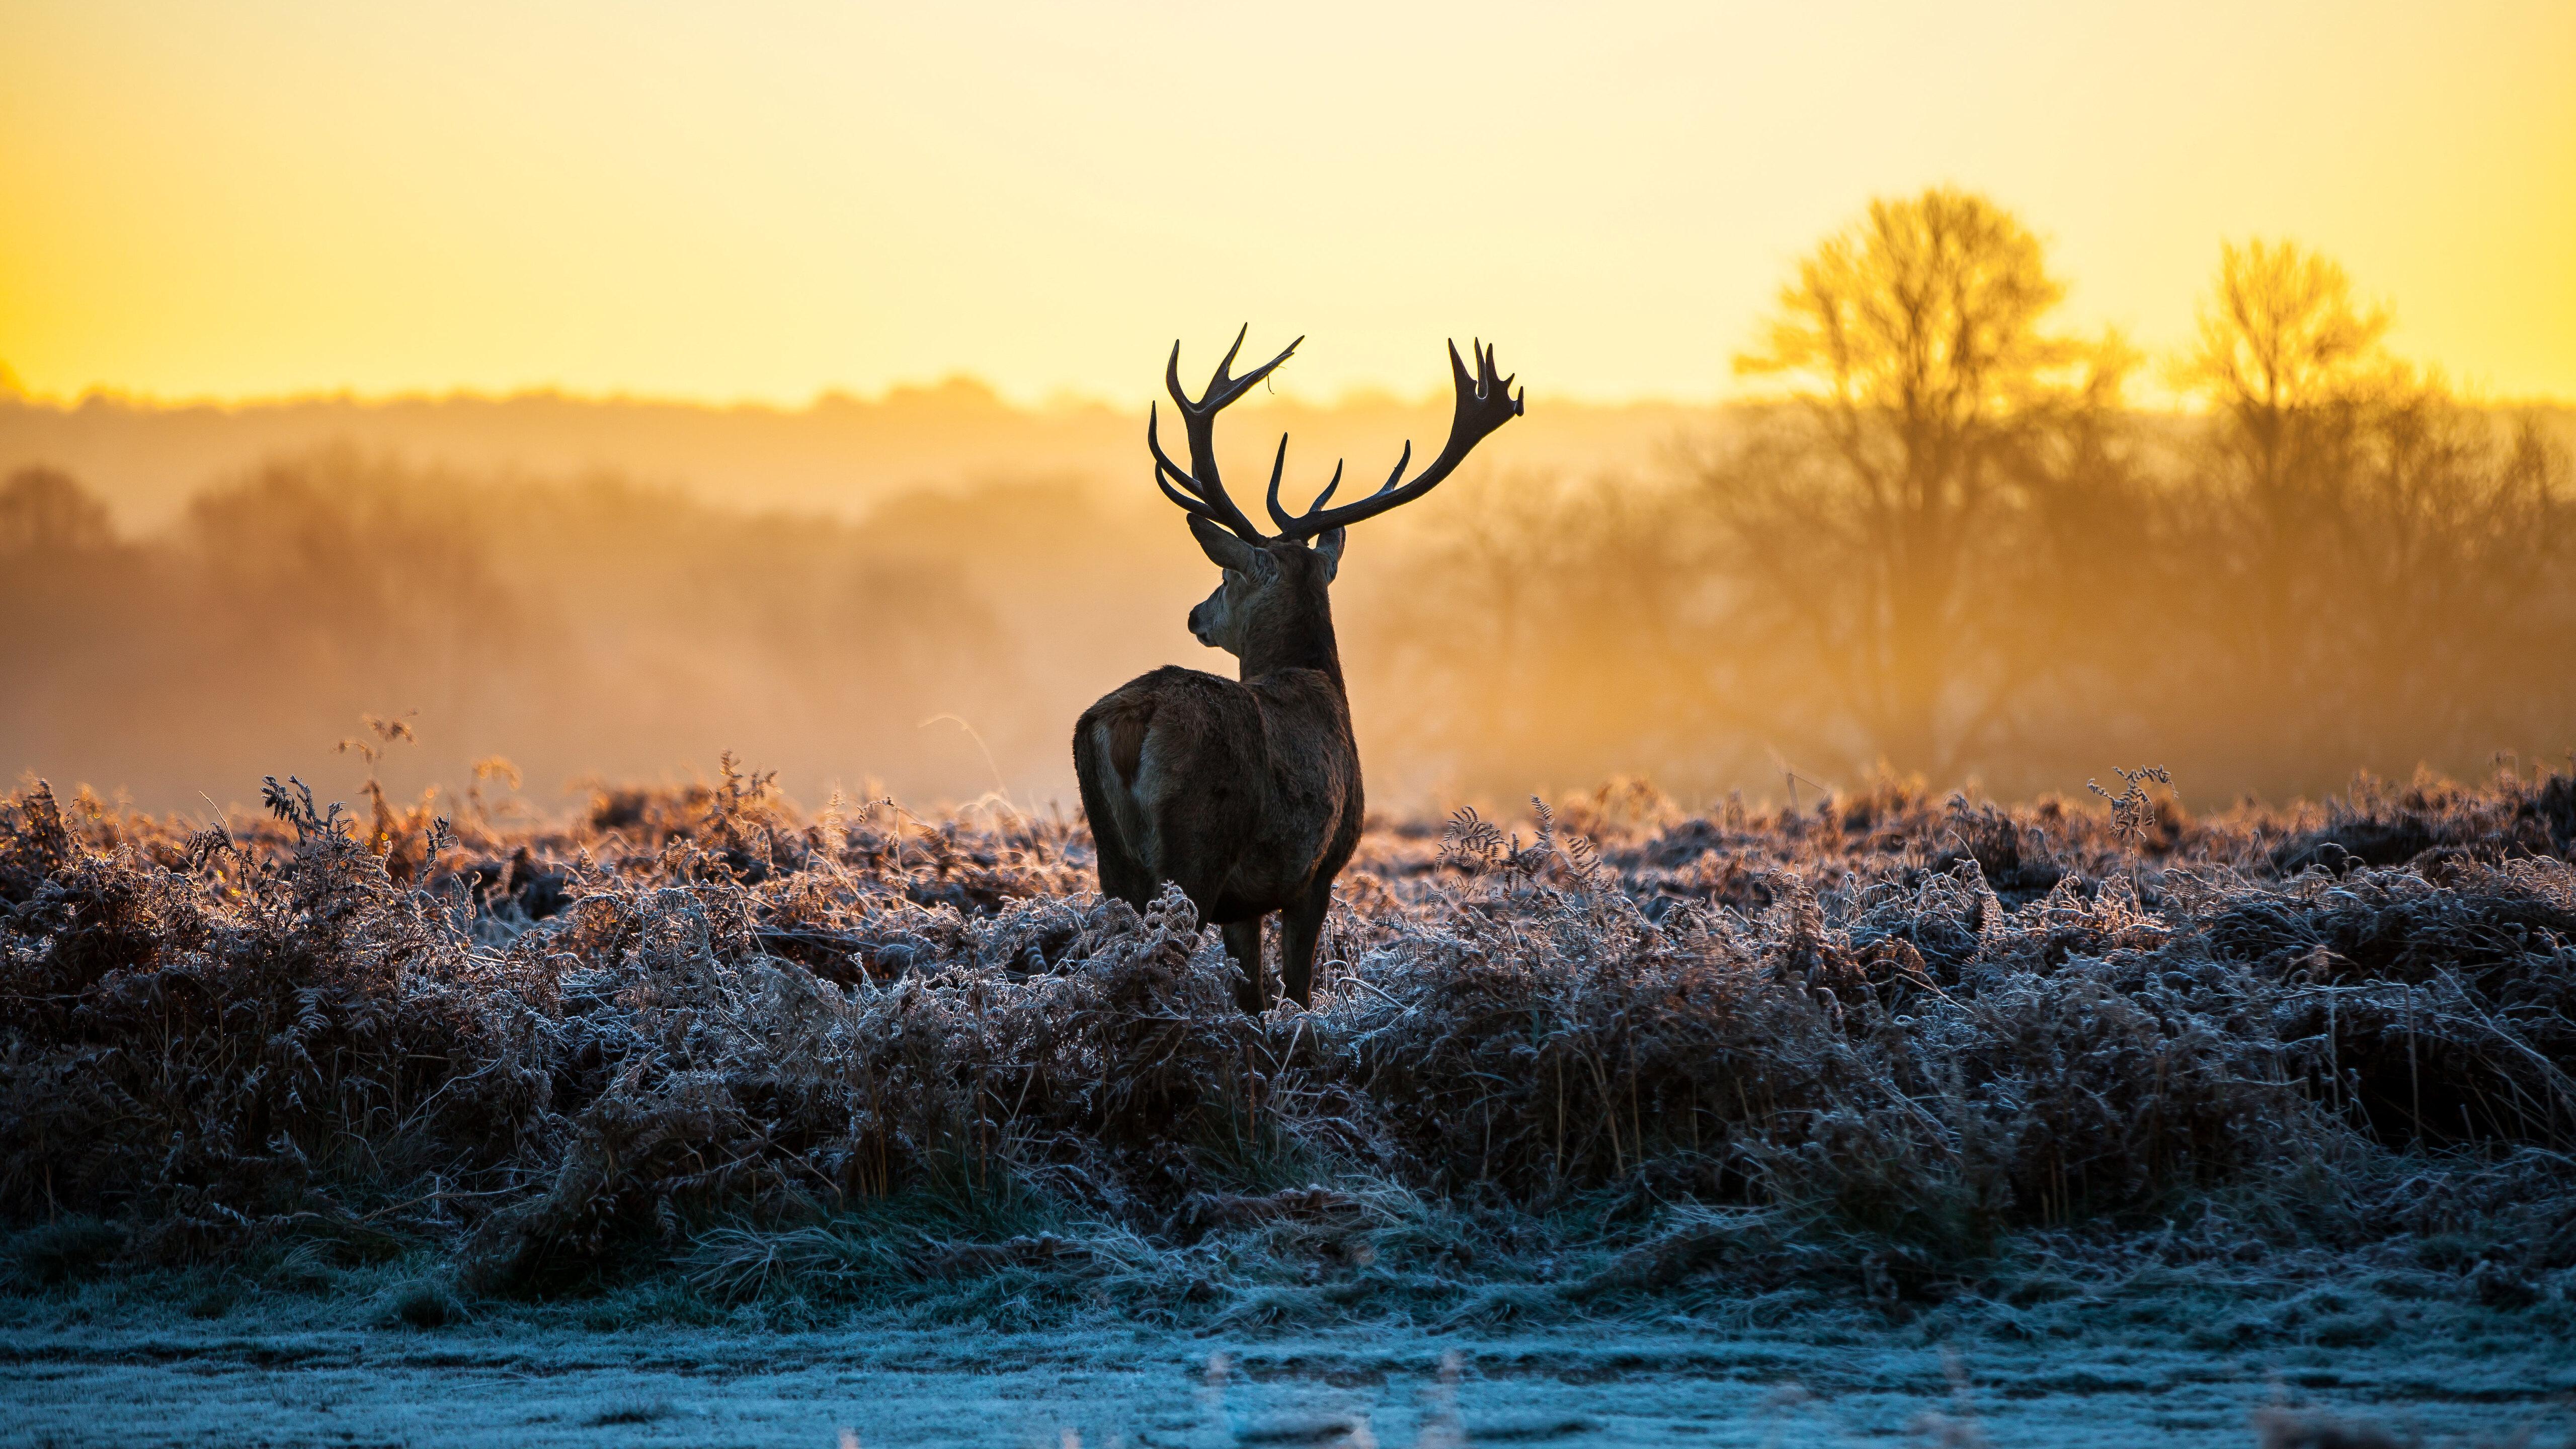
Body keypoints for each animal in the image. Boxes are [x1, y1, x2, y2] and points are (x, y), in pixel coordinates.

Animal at [1074, 329, 1523, 1012]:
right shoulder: (1318, 869)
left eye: (1226, 574)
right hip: (1196, 849)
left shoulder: (1247, 901)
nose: (1195, 614)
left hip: (1112, 860)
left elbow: (1253, 997)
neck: (1317, 681)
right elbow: (1297, 993)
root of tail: (1131, 720)